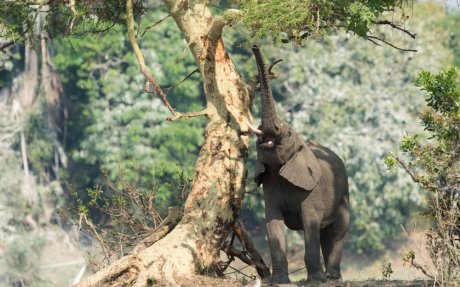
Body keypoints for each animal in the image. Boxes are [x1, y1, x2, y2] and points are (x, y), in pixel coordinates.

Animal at [250, 45, 350, 286]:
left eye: (287, 133)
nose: (254, 46)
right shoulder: (270, 184)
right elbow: (272, 222)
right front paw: (279, 281)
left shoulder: (312, 189)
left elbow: (310, 221)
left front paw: (314, 281)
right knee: (325, 233)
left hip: (344, 193)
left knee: (338, 231)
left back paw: (331, 277)